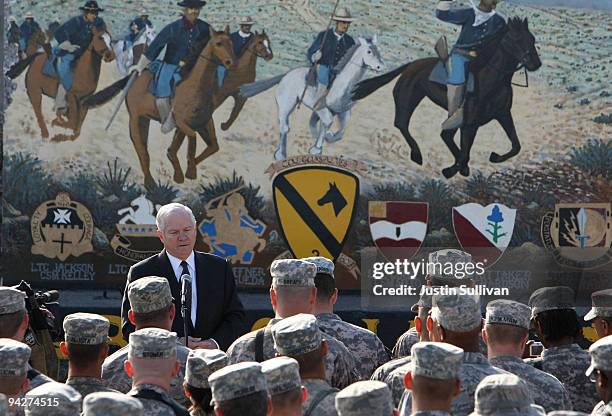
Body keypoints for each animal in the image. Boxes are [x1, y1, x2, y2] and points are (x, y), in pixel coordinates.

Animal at [86, 26, 237, 188]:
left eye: (231, 43)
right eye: (218, 43)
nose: (231, 62)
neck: (195, 87)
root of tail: (137, 76)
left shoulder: (203, 121)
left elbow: (213, 146)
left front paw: (187, 168)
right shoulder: (181, 122)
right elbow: (191, 138)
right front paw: (188, 170)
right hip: (137, 120)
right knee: (142, 150)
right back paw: (150, 183)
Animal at [238, 36, 382, 160]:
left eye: (378, 50)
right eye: (369, 51)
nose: (380, 67)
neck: (340, 85)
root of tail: (286, 75)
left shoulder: (343, 111)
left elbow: (340, 132)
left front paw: (327, 137)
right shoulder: (321, 109)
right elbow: (326, 122)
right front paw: (316, 148)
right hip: (286, 105)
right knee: (284, 127)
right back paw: (280, 154)